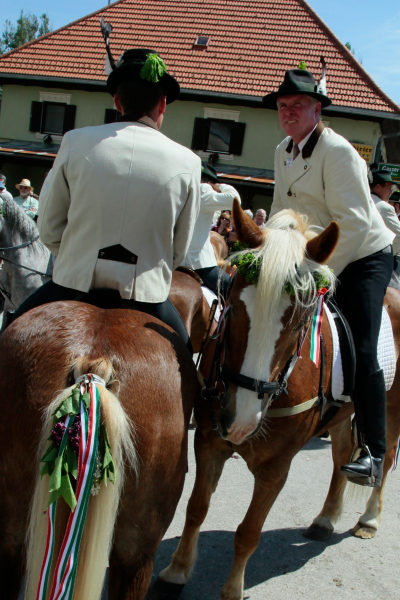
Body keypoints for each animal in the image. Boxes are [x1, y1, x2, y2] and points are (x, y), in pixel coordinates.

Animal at [159, 199, 400, 600]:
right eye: (231, 304)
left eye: (301, 319)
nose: (239, 421)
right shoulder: (209, 442)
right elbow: (196, 508)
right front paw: (176, 571)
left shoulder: (276, 467)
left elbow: (248, 532)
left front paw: (232, 591)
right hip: (337, 419)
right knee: (340, 455)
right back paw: (325, 518)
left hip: (394, 410)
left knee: (388, 454)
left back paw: (369, 517)